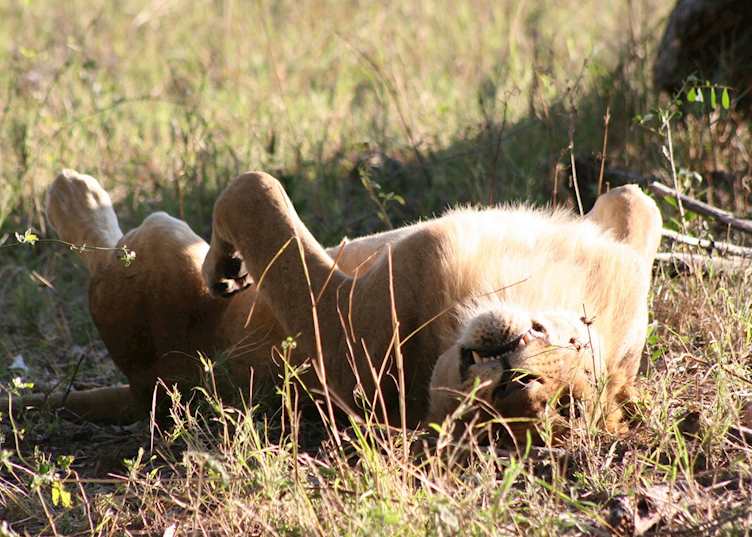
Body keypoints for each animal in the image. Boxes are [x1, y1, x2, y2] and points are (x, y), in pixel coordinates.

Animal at [6, 169, 661, 442]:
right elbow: (637, 201)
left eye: (551, 411)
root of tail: (150, 393)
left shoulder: (342, 330)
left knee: (113, 249)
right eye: (566, 402)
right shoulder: (622, 265)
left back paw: (76, 192)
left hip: (151, 255)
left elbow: (253, 193)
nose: (512, 378)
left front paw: (228, 265)